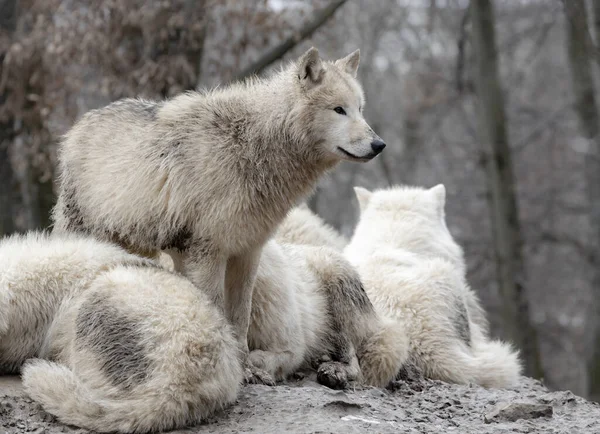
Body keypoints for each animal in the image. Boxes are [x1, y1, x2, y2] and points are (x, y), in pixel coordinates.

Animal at [54, 45, 386, 382]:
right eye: (339, 110)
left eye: (360, 109)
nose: (379, 144)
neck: (254, 146)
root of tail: (84, 121)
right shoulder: (208, 253)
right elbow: (214, 308)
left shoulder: (247, 252)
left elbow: (240, 317)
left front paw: (246, 369)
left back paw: (336, 371)